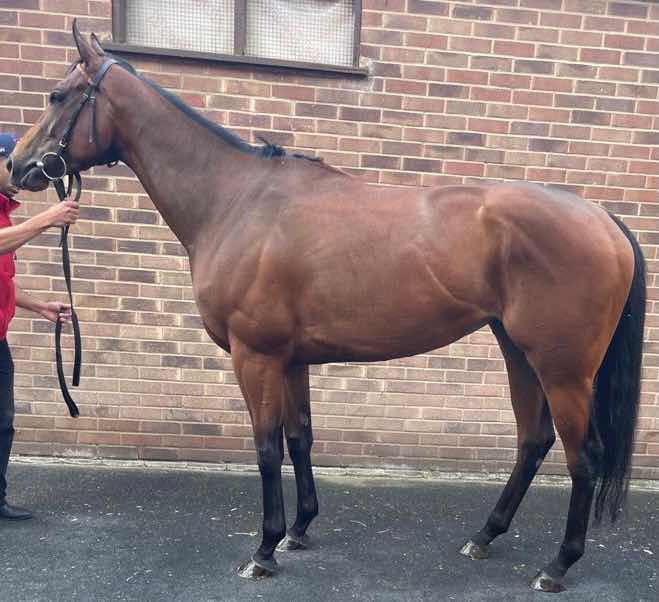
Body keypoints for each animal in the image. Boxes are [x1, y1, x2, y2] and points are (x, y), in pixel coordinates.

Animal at [7, 23, 645, 593]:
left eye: (57, 95)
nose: (17, 167)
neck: (236, 202)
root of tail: (601, 217)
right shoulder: (292, 360)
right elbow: (300, 438)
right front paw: (299, 530)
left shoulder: (255, 356)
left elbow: (266, 447)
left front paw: (264, 549)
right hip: (517, 350)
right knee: (533, 441)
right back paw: (484, 536)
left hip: (563, 369)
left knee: (584, 455)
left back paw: (557, 566)